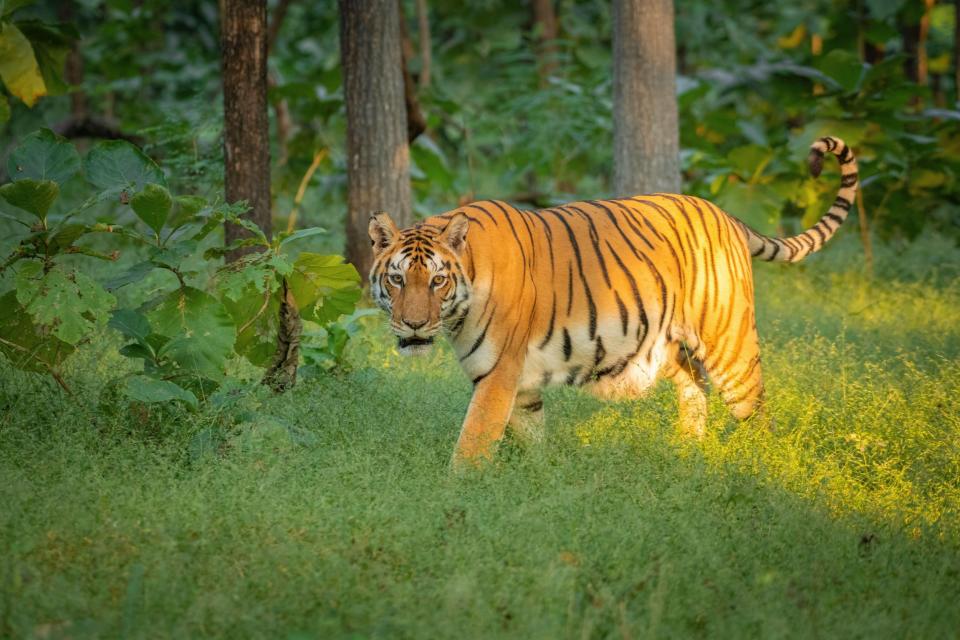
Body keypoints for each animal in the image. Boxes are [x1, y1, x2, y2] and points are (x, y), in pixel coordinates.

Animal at [370, 136, 864, 464]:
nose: (414, 325)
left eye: (437, 281)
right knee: (695, 392)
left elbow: (472, 442)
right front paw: (539, 475)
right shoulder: (519, 382)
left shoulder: (498, 373)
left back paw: (762, 468)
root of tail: (724, 213)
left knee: (757, 412)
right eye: (397, 280)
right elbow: (530, 432)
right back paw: (686, 457)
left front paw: (458, 493)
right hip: (673, 347)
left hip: (730, 345)